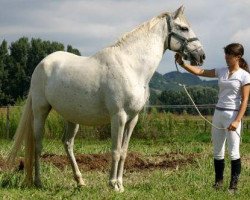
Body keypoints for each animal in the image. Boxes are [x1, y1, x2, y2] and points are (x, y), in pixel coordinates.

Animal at [7, 5, 205, 191]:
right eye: (184, 28)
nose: (201, 55)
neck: (131, 66)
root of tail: (42, 64)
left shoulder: (132, 119)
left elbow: (124, 151)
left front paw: (121, 184)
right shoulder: (118, 116)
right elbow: (115, 150)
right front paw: (113, 184)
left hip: (71, 117)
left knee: (68, 143)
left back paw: (80, 181)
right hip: (41, 111)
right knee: (38, 145)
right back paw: (38, 182)